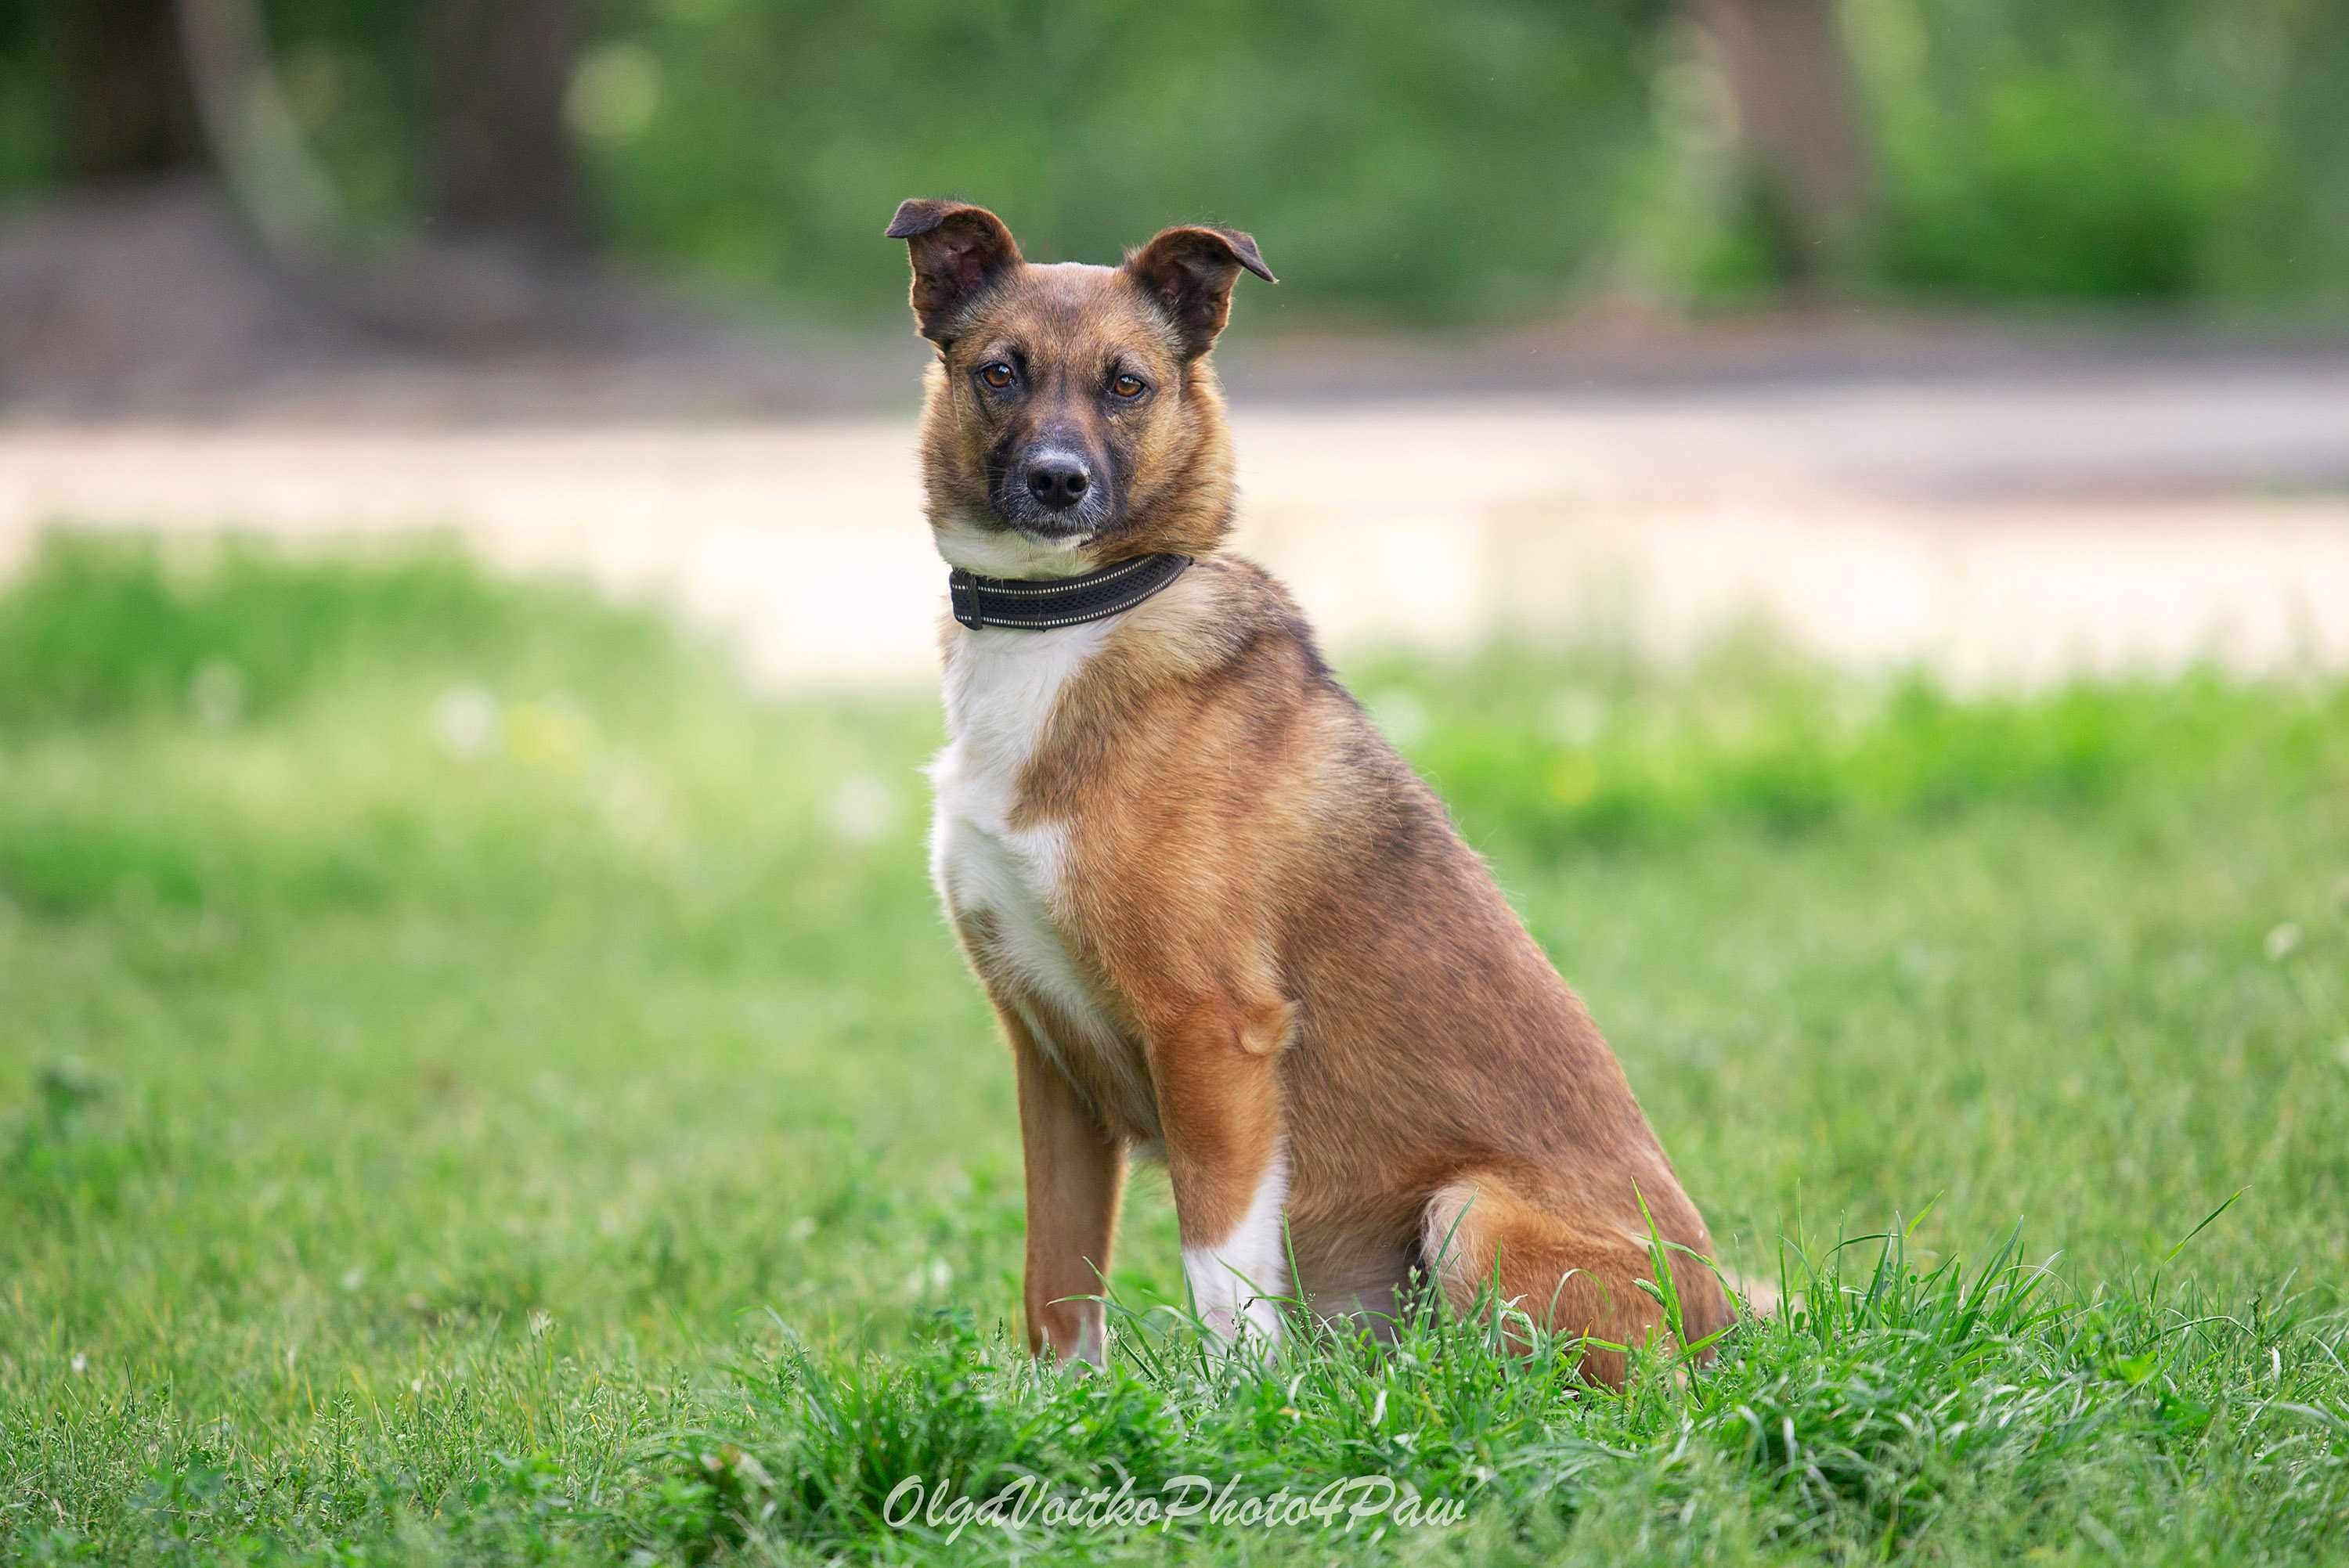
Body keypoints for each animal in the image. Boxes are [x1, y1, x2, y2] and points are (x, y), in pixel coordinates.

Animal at [888, 196, 1738, 1380]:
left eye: (1127, 384)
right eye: (999, 372)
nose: (1059, 480)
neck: (1064, 623)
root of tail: (1731, 1332)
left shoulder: (1214, 1035)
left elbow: (1220, 1274)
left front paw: (1239, 1407)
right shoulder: (1046, 1056)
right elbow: (1056, 1283)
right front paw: (1064, 1406)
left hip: (1471, 1212)